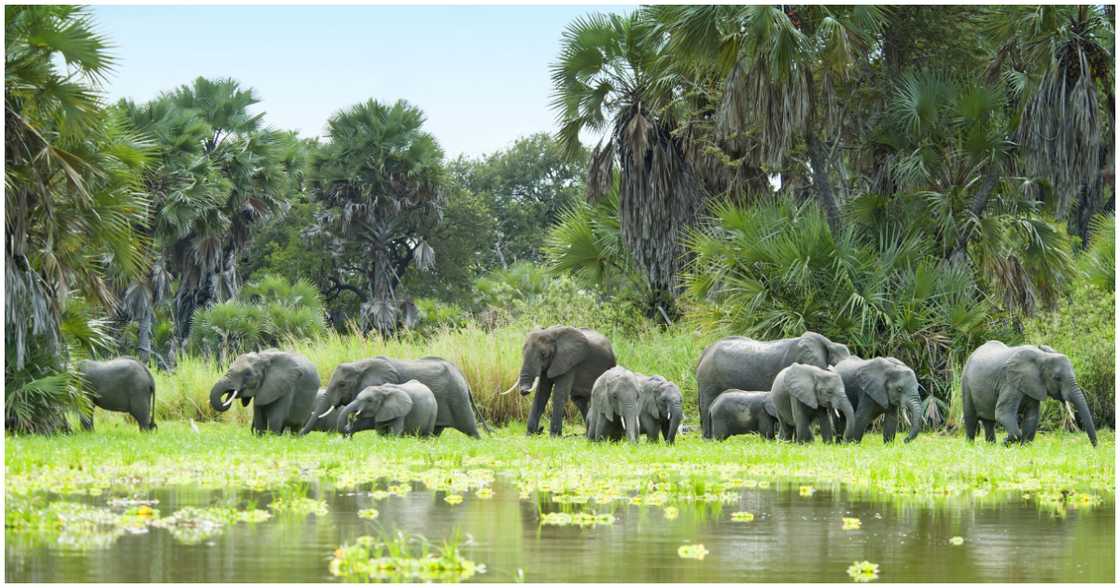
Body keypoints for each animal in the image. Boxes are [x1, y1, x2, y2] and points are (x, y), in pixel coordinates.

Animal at [304, 356, 483, 436]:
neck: (361, 365)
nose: (300, 436)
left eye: (342, 384)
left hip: (457, 398)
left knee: (470, 428)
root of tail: (463, 377)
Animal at [958, 338, 1097, 445]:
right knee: (971, 419)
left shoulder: (1032, 384)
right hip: (965, 382)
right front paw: (1006, 441)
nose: (1095, 447)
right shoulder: (1009, 382)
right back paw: (971, 445)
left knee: (989, 422)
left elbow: (1032, 416)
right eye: (1057, 378)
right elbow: (1003, 413)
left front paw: (1024, 446)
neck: (1042, 356)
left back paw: (991, 446)